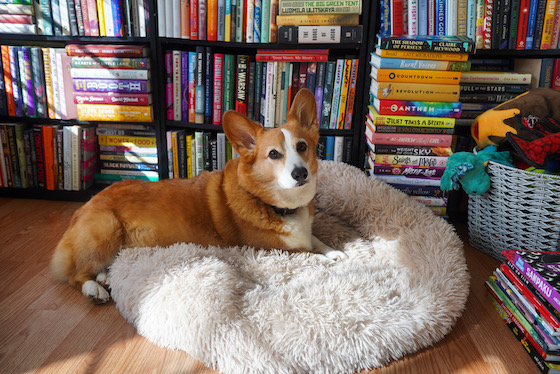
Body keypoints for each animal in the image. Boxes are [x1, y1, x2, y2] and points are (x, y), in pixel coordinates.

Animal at [53, 88, 350, 304]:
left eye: (302, 147)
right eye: (274, 154)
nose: (301, 174)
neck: (280, 205)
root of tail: (85, 204)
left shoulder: (305, 234)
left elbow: (316, 240)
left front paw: (336, 252)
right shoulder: (276, 250)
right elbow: (310, 255)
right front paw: (330, 261)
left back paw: (103, 277)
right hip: (106, 230)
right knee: (75, 274)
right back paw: (94, 289)